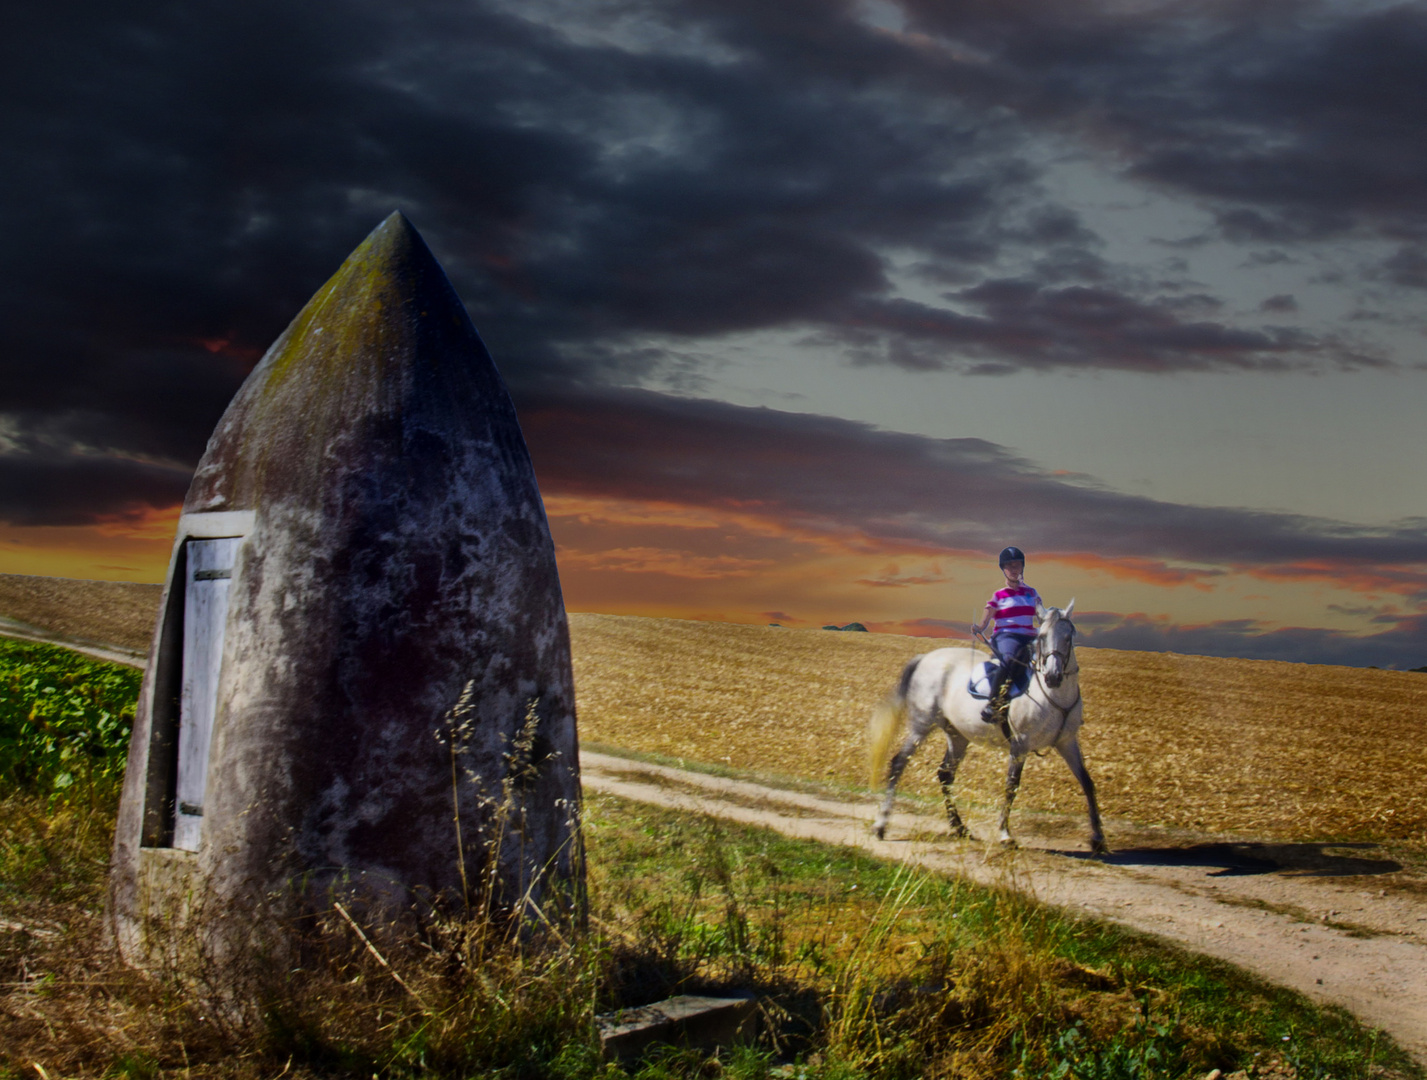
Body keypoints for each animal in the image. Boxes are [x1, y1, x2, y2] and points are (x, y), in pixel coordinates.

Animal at [867, 599, 1101, 850]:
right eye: (1042, 636)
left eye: (1069, 636)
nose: (1053, 677)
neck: (1054, 696)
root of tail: (924, 658)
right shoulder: (1020, 744)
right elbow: (1011, 786)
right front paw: (1005, 834)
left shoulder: (1067, 742)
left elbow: (1087, 782)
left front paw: (1098, 837)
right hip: (922, 725)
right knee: (899, 763)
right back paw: (881, 825)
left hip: (957, 736)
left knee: (945, 774)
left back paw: (960, 828)